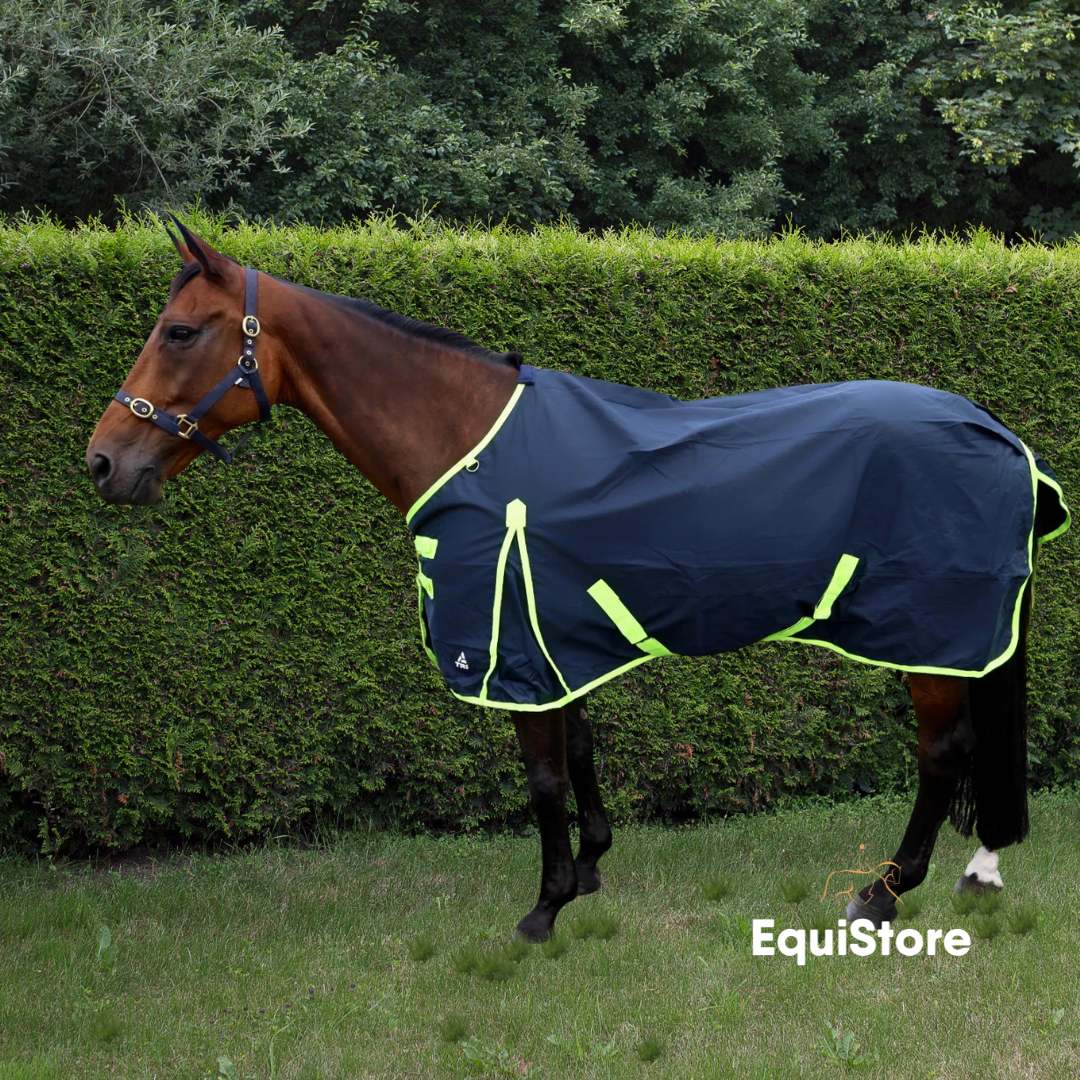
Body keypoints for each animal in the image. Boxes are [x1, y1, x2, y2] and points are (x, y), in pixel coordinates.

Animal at [86, 223, 1069, 943]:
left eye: (180, 331)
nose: (102, 462)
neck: (468, 441)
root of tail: (998, 433)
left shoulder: (510, 646)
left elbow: (543, 778)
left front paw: (545, 907)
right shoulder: (555, 637)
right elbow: (583, 751)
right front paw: (592, 868)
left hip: (929, 638)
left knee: (944, 755)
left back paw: (884, 891)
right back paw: (976, 870)